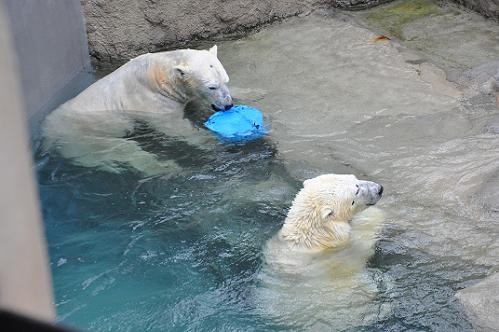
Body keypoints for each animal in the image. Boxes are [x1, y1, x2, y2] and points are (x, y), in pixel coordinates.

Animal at [41, 46, 232, 176]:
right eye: (212, 87)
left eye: (226, 80)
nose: (228, 105)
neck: (158, 74)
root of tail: (47, 133)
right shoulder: (152, 102)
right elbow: (174, 126)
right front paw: (210, 139)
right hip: (81, 137)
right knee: (120, 149)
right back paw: (165, 167)